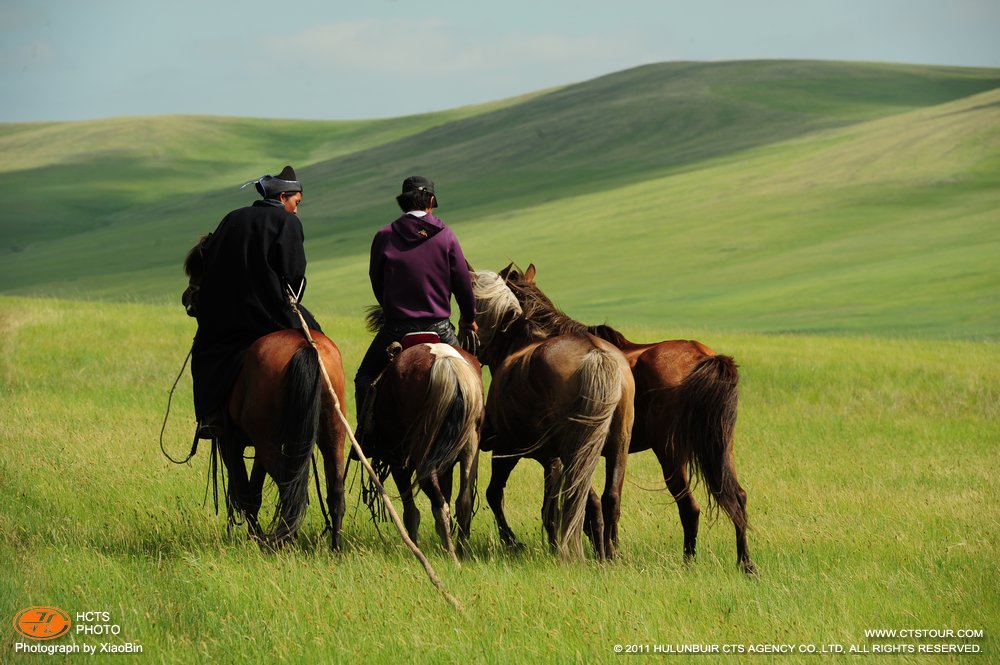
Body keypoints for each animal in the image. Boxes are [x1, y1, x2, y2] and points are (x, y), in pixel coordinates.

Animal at [362, 332, 486, 560]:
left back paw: (451, 555)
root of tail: (447, 364)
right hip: (470, 446)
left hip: (419, 452)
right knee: (463, 501)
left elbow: (410, 511)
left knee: (438, 501)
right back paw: (460, 552)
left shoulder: (397, 461)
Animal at [470, 270, 632, 560]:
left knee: (586, 499)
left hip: (572, 451)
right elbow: (550, 509)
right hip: (617, 446)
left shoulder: (508, 450)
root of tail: (595, 354)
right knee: (609, 498)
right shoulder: (551, 461)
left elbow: (495, 495)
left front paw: (513, 541)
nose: (471, 344)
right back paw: (609, 552)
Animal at [504, 262, 752, 572]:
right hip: (720, 447)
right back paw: (746, 564)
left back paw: (690, 561)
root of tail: (704, 356)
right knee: (736, 497)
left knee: (689, 508)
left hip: (670, 453)